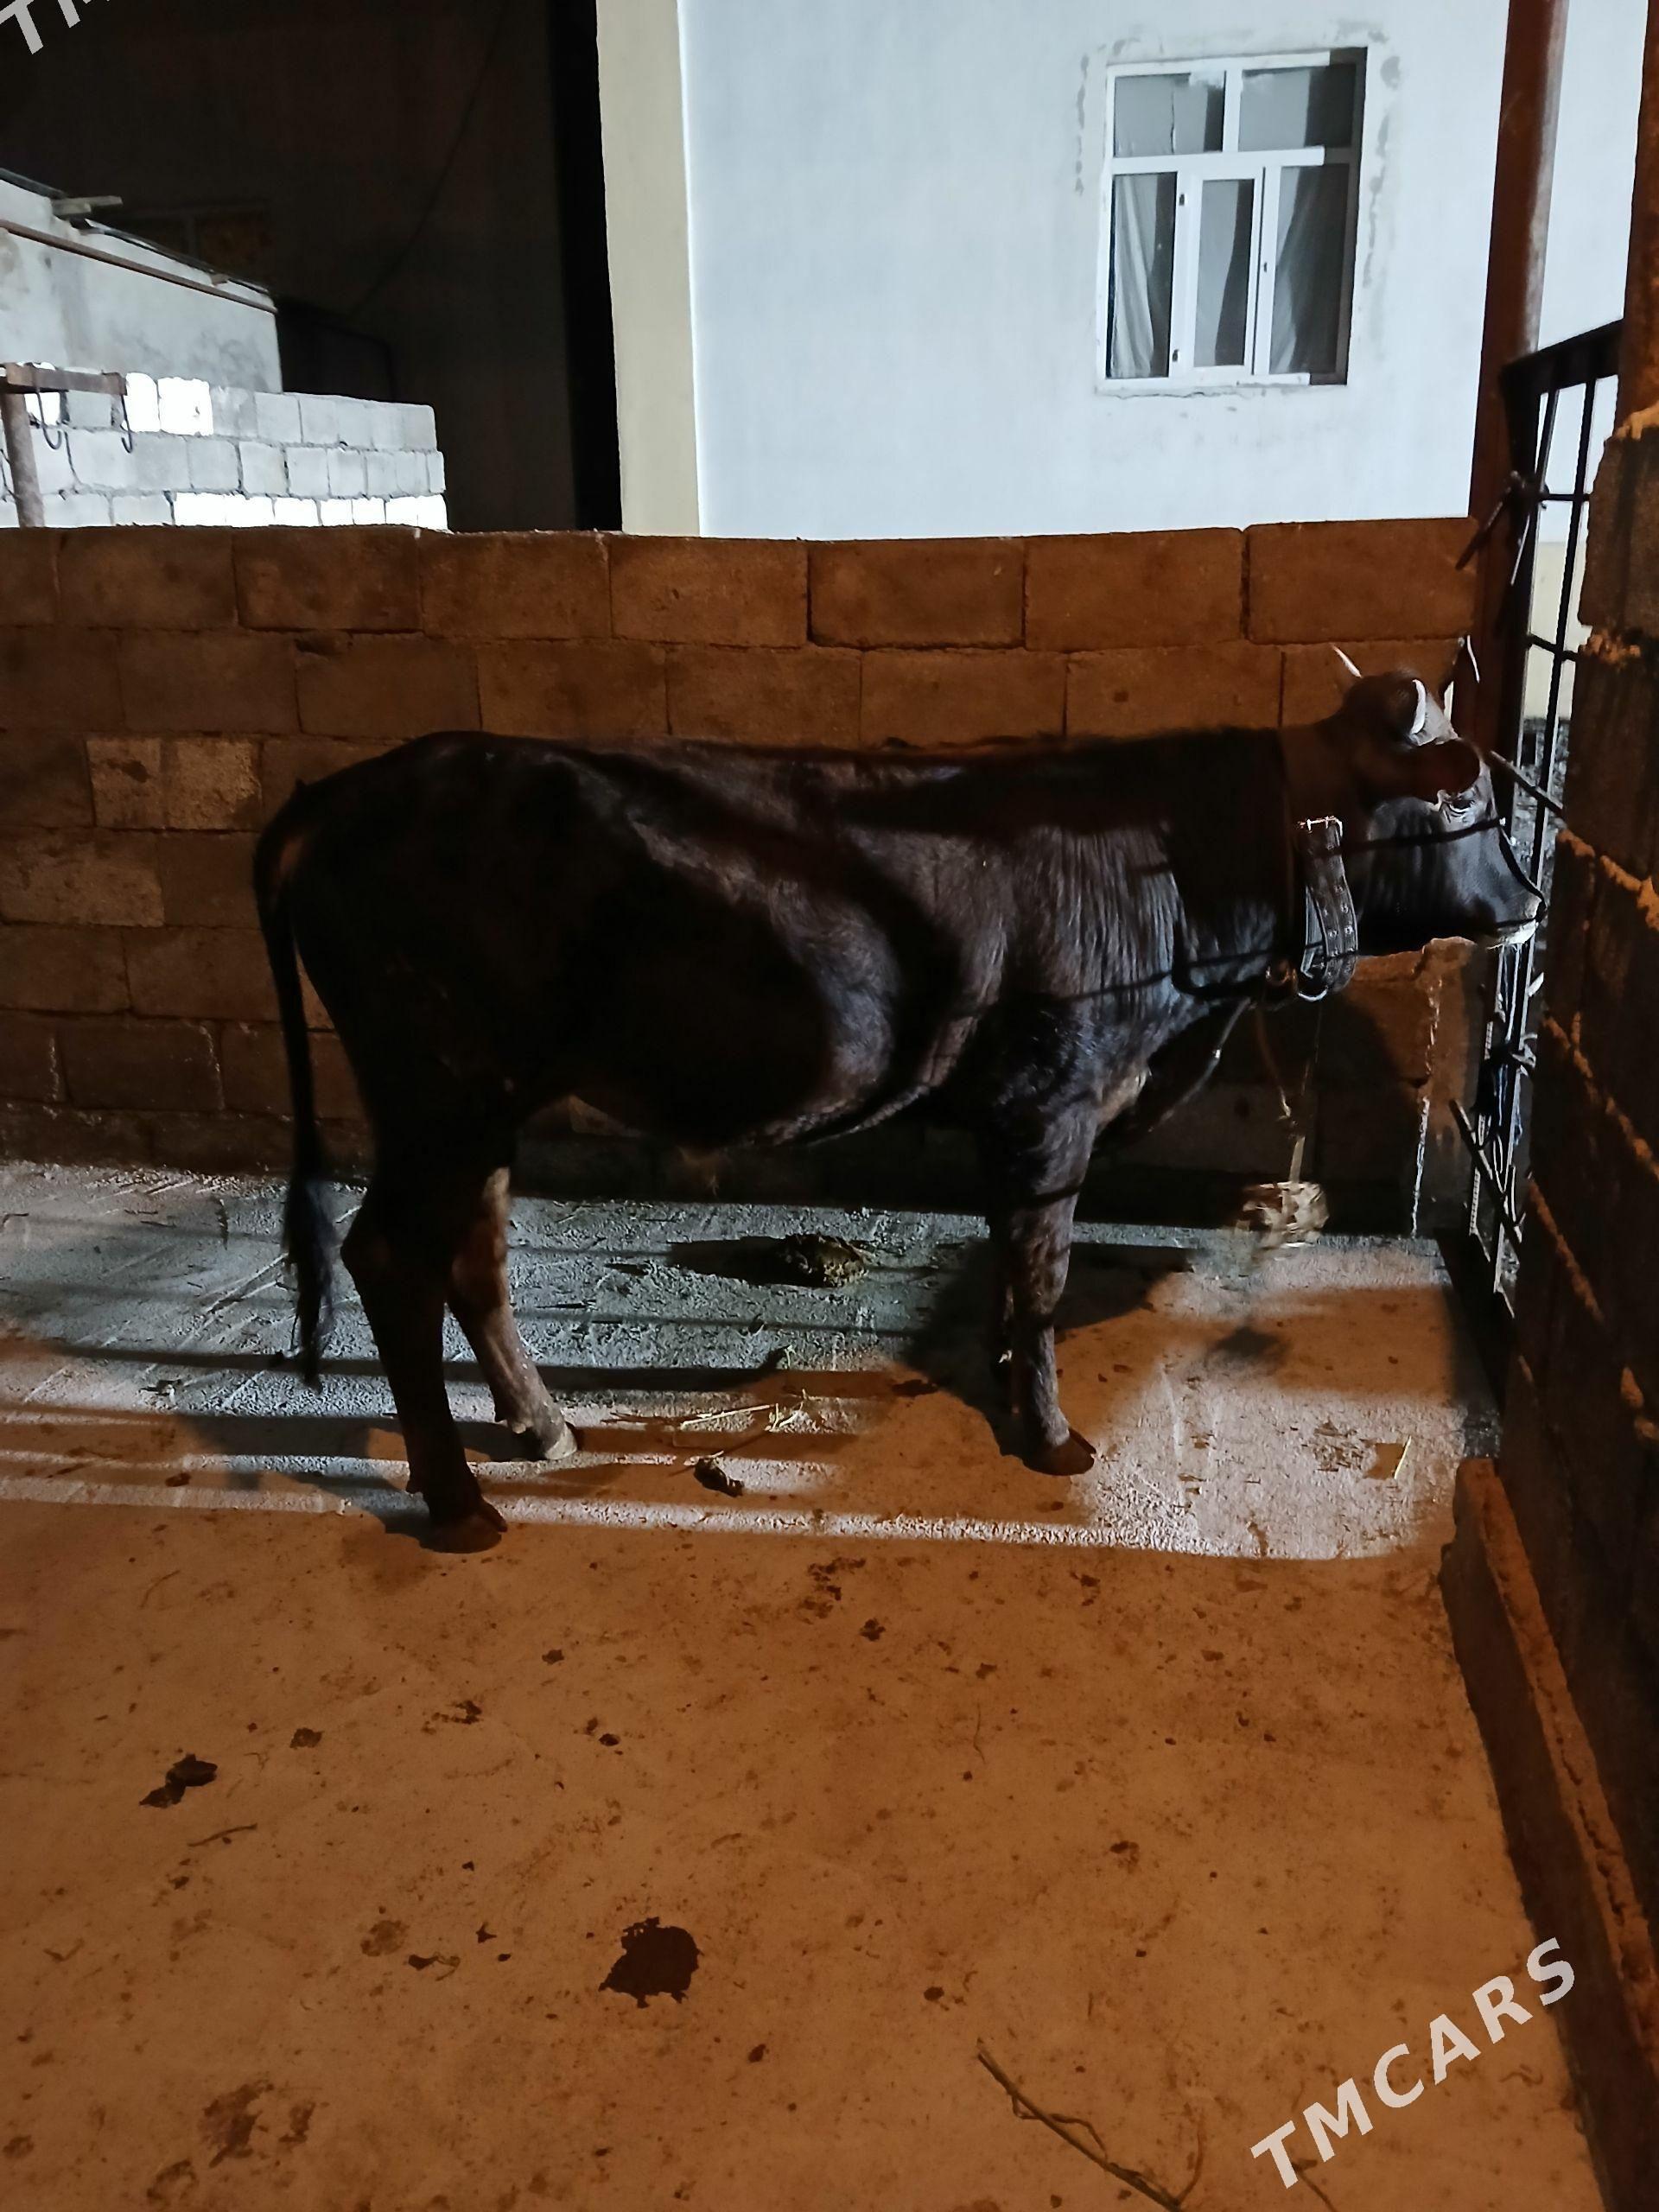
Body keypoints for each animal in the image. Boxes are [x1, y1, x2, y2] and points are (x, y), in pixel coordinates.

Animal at [254, 666, 1540, 1549]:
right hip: (439, 1088)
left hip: (482, 1102)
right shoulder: (1058, 1099)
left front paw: (1004, 1380)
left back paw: (543, 1427)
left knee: (474, 1252)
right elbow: (1043, 1269)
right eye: (1462, 793)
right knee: (389, 1255)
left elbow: (1014, 1261)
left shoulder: (1019, 1115)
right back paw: (459, 1502)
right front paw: (1053, 1438)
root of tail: (343, 789)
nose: (1531, 899)